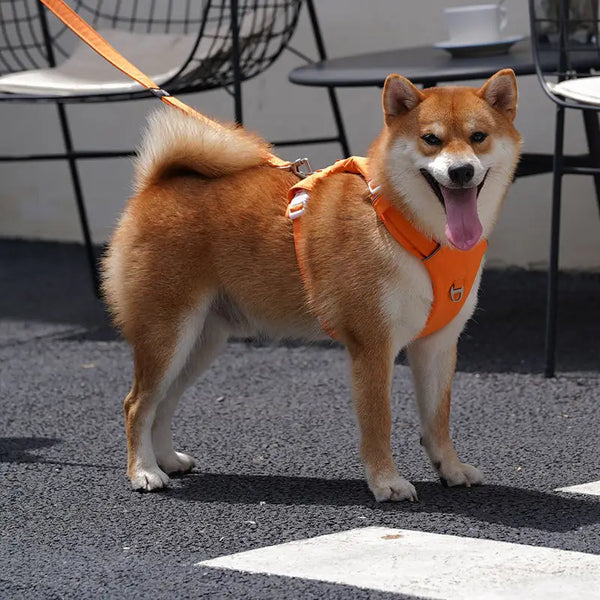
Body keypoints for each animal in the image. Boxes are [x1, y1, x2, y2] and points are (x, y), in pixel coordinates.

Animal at [102, 69, 520, 502]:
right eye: (431, 139)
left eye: (478, 136)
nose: (461, 171)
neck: (410, 229)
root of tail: (156, 186)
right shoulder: (373, 347)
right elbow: (379, 423)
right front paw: (386, 482)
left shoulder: (437, 345)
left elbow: (438, 421)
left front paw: (450, 469)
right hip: (167, 334)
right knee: (137, 404)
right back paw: (144, 471)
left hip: (199, 344)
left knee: (163, 404)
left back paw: (166, 460)